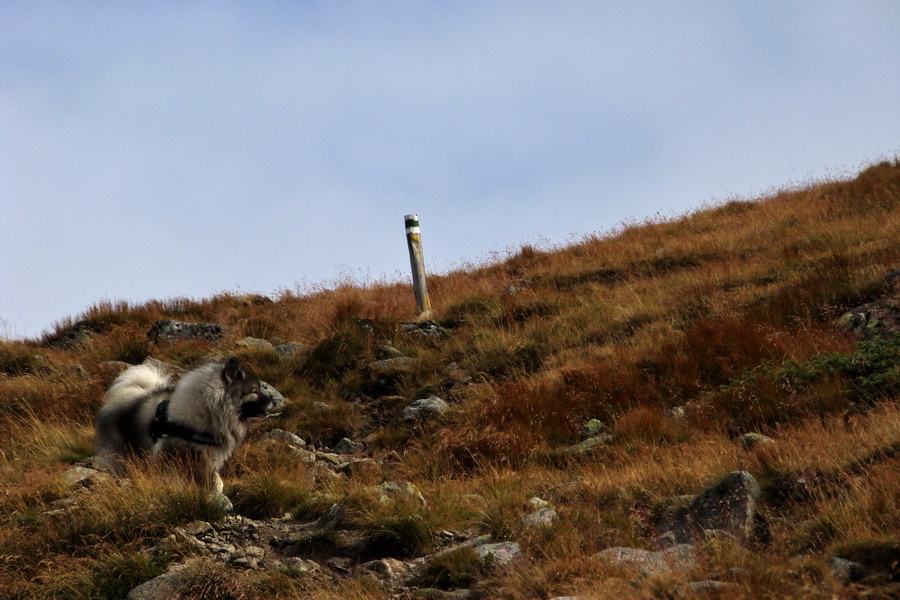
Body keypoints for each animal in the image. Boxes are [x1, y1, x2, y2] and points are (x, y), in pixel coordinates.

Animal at [93, 356, 280, 492]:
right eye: (254, 391)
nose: (274, 401)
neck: (207, 411)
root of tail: (130, 393)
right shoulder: (172, 457)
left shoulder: (207, 460)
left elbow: (215, 481)